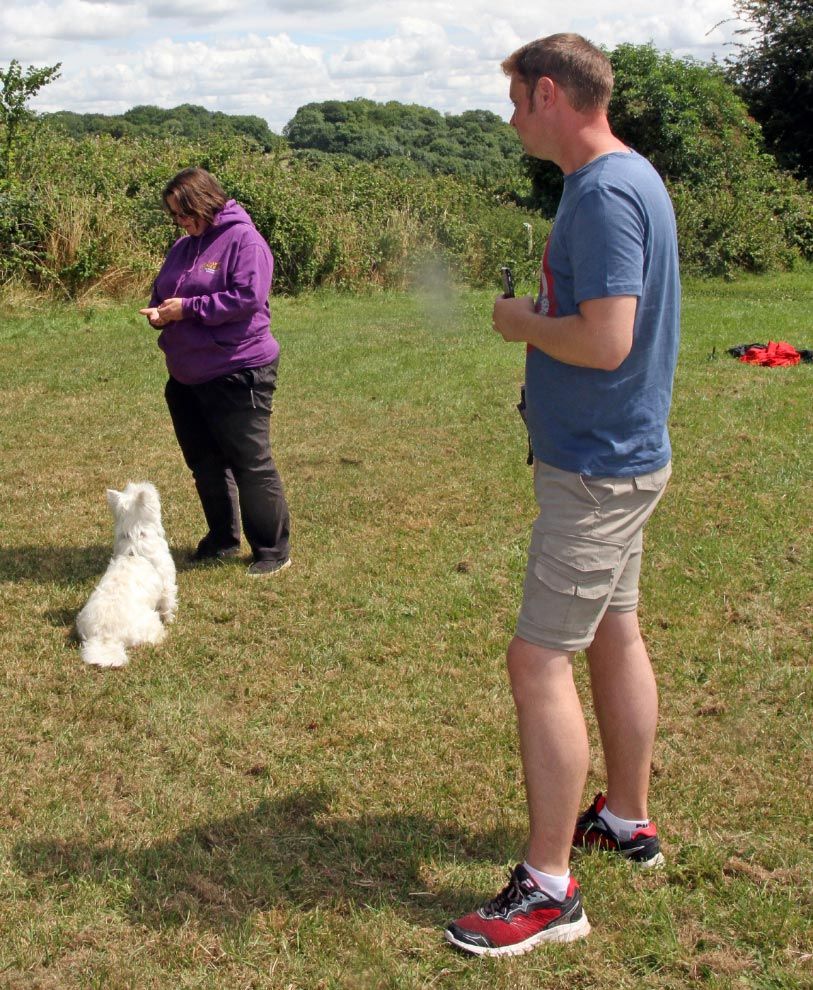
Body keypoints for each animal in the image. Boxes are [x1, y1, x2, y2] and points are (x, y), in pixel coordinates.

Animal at [75, 480, 176, 668]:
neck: (136, 538)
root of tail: (105, 636)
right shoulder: (168, 584)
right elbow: (167, 605)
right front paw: (170, 619)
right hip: (149, 622)